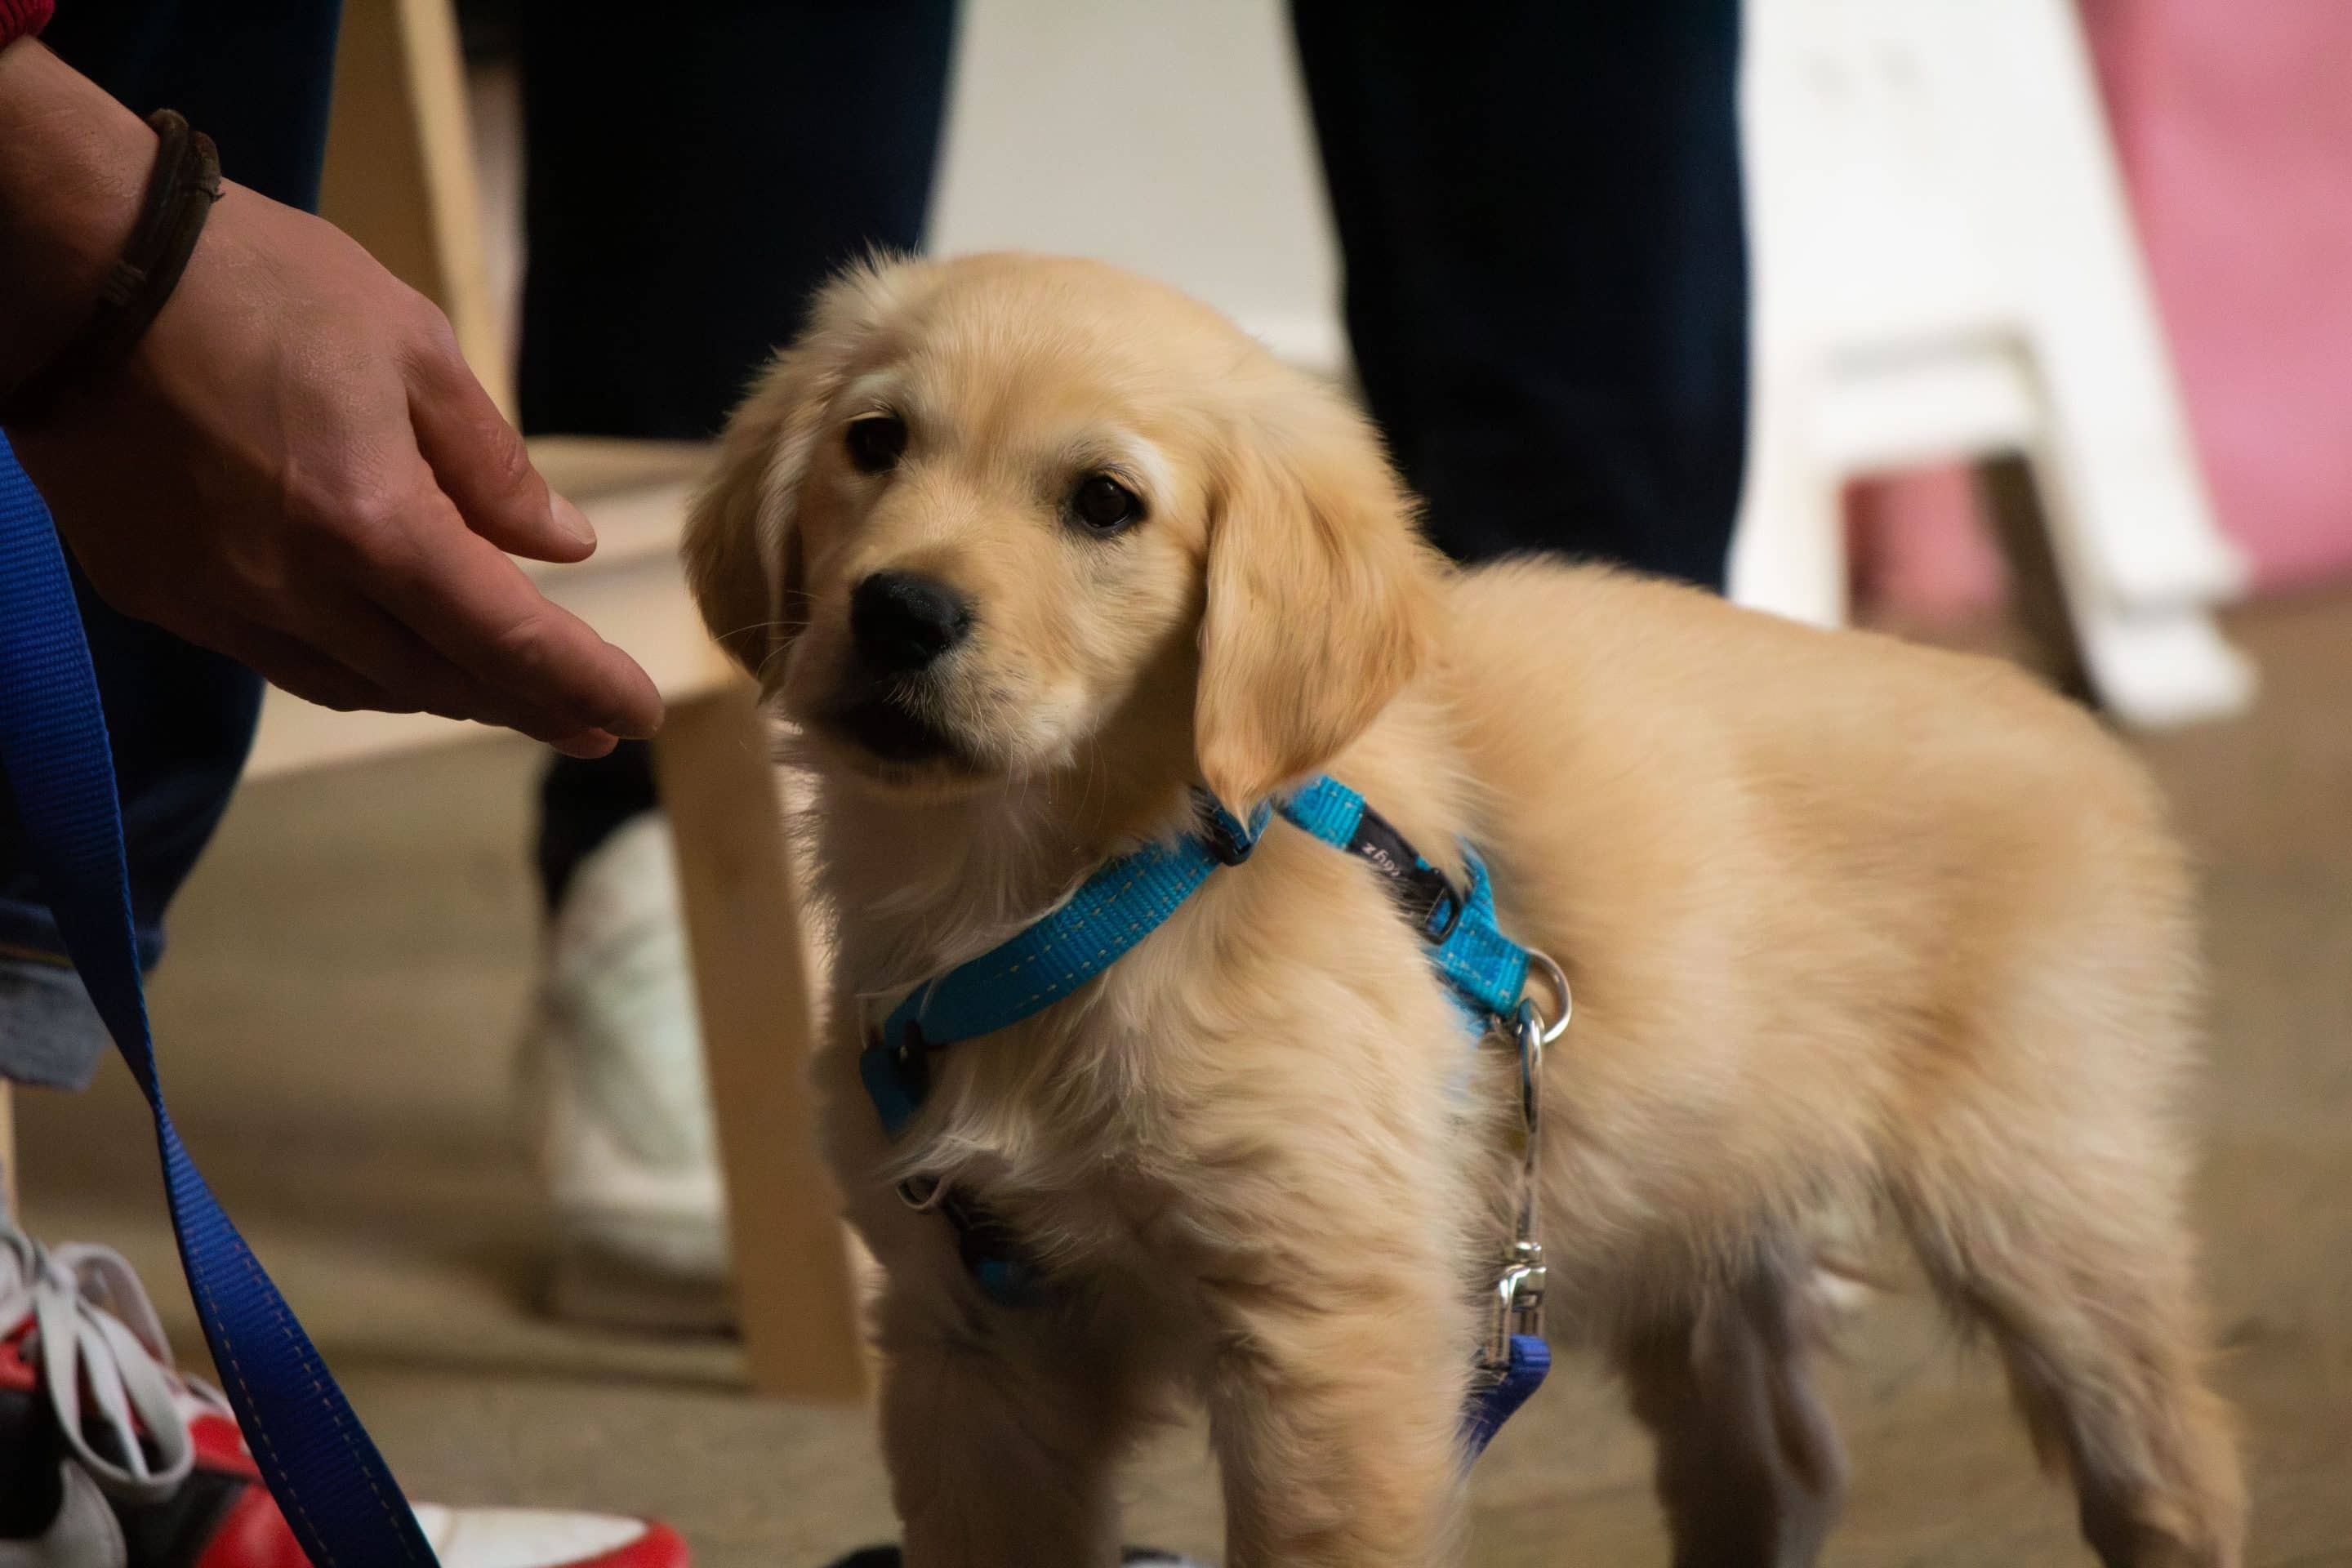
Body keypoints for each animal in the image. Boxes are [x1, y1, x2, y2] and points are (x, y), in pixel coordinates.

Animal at [682, 252, 2238, 1561]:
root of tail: (2070, 730)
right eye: (875, 442)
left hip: (2045, 1206)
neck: (1062, 898)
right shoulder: (967, 1352)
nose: (900, 613)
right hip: (1694, 1217)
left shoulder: (1333, 1348)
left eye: (1104, 504)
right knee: (1778, 1471)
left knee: (2174, 1466)